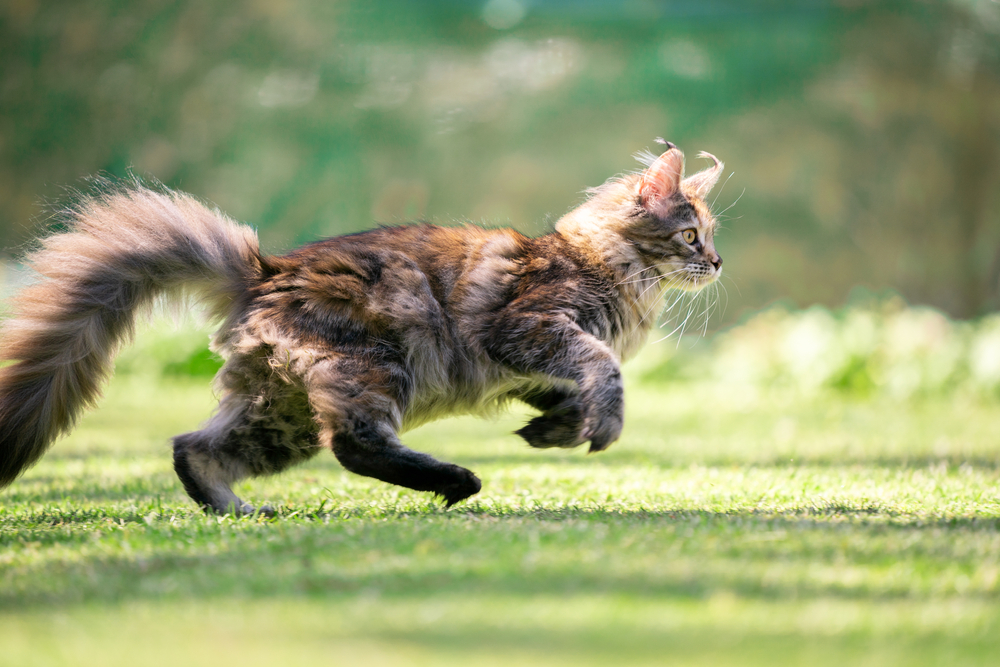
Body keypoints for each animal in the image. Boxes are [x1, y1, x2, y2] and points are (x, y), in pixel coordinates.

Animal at [0, 144, 724, 516]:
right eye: (692, 235)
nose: (718, 262)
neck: (605, 265)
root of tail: (264, 270)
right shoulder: (530, 326)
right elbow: (604, 368)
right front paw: (599, 424)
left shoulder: (531, 368)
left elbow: (569, 391)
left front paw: (554, 431)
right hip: (374, 364)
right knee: (353, 443)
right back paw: (454, 481)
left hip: (279, 412)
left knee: (193, 446)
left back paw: (237, 510)